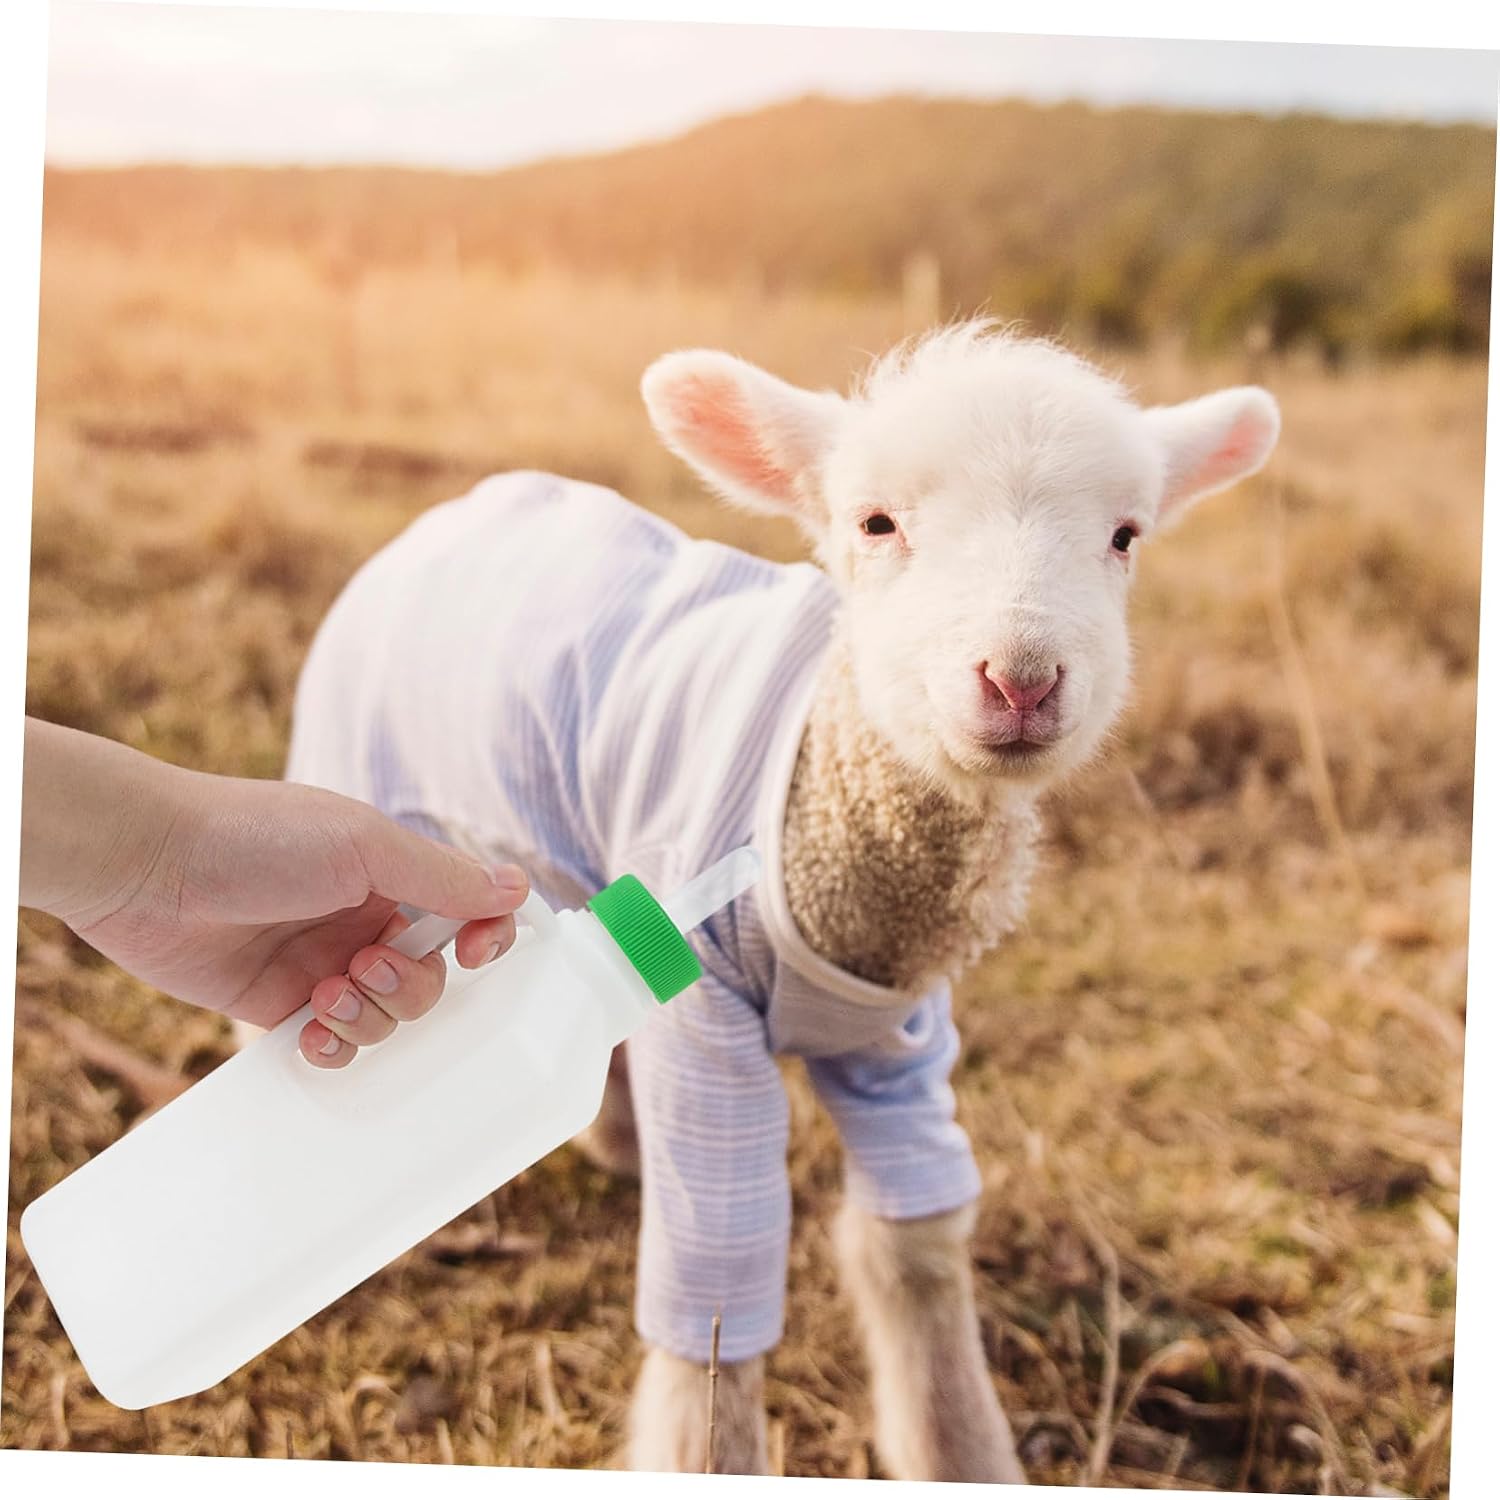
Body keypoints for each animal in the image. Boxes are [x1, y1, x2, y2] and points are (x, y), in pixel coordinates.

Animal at [280, 318, 1279, 1481]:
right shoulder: (705, 1024)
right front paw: (706, 1451)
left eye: (1125, 536)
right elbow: (718, 1282)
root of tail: (457, 509)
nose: (1022, 681)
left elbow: (916, 1244)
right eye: (875, 522)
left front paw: (961, 1453)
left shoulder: (903, 1035)